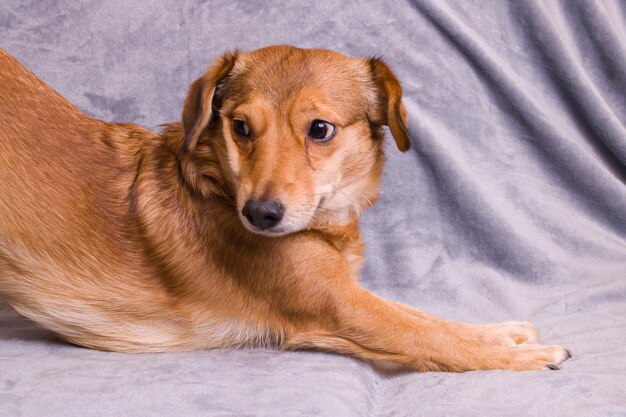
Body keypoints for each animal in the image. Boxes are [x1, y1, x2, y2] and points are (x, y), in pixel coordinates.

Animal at [0, 46, 572, 370]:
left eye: (320, 129)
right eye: (240, 127)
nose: (260, 215)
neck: (218, 188)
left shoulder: (343, 298)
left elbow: (431, 318)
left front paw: (504, 333)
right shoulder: (343, 308)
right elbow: (432, 337)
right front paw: (523, 356)